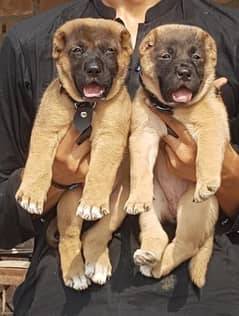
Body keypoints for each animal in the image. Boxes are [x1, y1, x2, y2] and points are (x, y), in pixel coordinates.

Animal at [15, 17, 133, 288]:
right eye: (77, 50)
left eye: (109, 51)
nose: (93, 69)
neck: (86, 107)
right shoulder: (46, 128)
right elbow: (38, 161)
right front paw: (31, 194)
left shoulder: (110, 137)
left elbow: (100, 171)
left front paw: (93, 201)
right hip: (69, 203)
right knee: (71, 237)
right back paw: (76, 273)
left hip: (120, 201)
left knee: (99, 232)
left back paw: (97, 264)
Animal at [124, 24, 229, 286]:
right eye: (165, 56)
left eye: (197, 57)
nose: (183, 72)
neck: (174, 108)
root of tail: (171, 211)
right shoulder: (144, 135)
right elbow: (140, 169)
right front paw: (135, 198)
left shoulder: (213, 125)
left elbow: (207, 155)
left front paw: (207, 182)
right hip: (153, 205)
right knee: (158, 234)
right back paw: (149, 256)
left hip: (193, 211)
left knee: (185, 245)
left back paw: (157, 264)